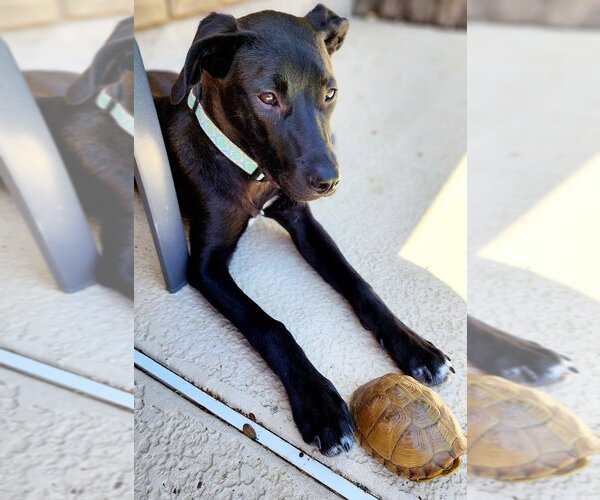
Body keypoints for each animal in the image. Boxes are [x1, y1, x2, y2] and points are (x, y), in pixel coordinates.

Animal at [150, 4, 450, 458]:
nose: (330, 181)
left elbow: (359, 284)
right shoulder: (204, 266)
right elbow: (269, 325)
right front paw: (319, 402)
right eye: (267, 98)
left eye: (330, 93)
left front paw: (414, 346)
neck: (252, 171)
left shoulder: (303, 222)